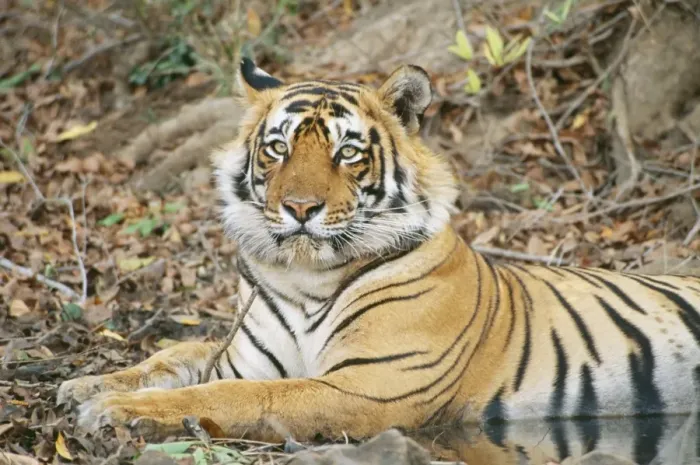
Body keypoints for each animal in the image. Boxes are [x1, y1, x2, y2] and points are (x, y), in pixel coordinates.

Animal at [57, 59, 700, 463]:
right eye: (278, 148)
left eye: (346, 152)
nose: (299, 208)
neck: (303, 275)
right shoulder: (241, 357)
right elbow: (173, 355)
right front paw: (85, 385)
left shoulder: (369, 385)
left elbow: (238, 398)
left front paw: (114, 410)